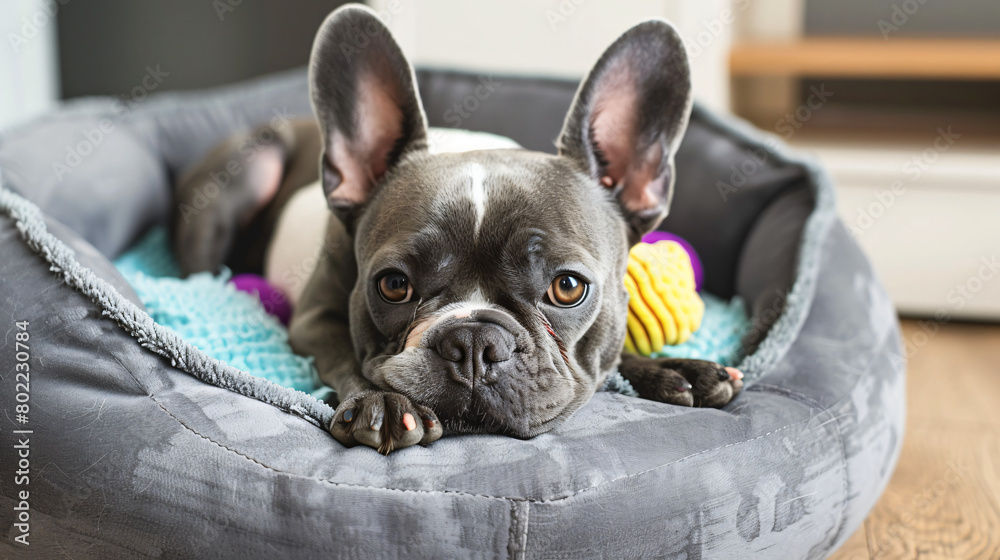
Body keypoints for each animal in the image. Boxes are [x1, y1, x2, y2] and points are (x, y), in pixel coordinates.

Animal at [172, 4, 740, 456]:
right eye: (393, 285)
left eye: (567, 287)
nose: (473, 341)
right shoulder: (314, 320)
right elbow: (348, 357)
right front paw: (380, 403)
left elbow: (614, 351)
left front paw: (674, 369)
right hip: (245, 174)